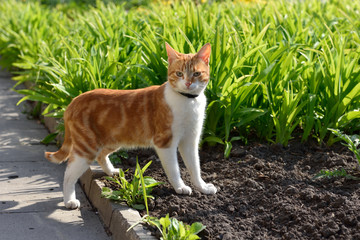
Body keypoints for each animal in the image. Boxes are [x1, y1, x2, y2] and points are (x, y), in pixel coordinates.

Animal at [46, 42, 218, 208]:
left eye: (196, 74)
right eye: (179, 73)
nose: (188, 83)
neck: (188, 100)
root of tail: (73, 101)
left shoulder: (190, 141)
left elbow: (195, 167)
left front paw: (202, 187)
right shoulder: (165, 142)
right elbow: (174, 169)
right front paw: (180, 187)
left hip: (112, 140)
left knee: (101, 156)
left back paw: (111, 171)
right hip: (87, 147)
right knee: (68, 174)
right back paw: (69, 200)